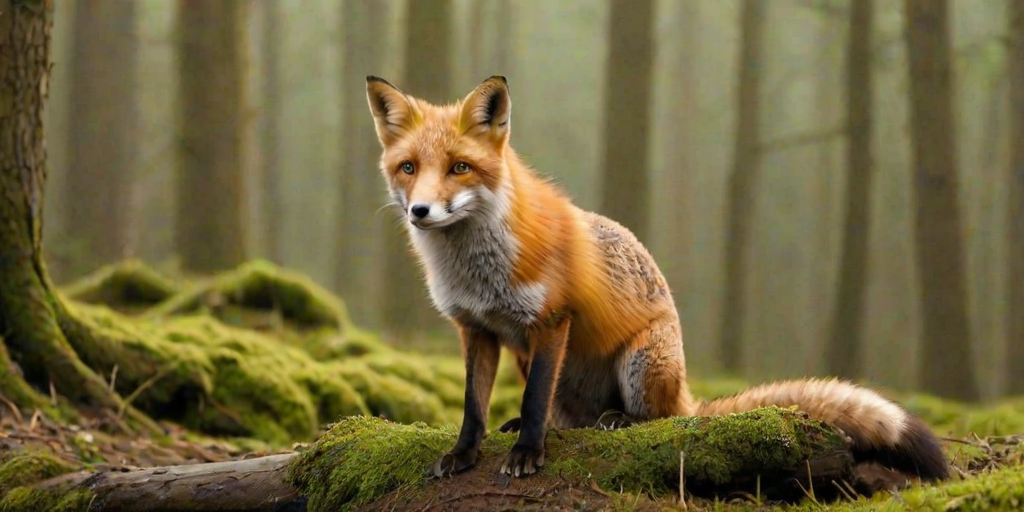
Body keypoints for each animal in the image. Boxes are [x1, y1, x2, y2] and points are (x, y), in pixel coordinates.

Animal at [363, 75, 949, 482]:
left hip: (641, 365)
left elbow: (531, 404)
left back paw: (619, 421)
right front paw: (463, 454)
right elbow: (472, 407)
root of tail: (686, 392)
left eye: (459, 168)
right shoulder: (477, 329)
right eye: (409, 168)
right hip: (537, 361)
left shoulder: (551, 320)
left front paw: (527, 452)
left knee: (658, 420)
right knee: (570, 417)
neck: (477, 271)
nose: (420, 212)